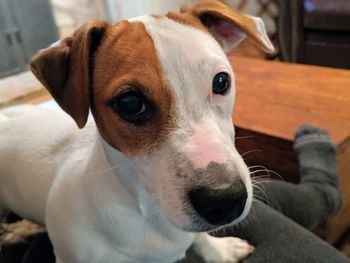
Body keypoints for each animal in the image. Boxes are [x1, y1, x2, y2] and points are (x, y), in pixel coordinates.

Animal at [0, 1, 274, 262]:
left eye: (221, 81)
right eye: (130, 102)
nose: (226, 200)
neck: (149, 210)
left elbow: (200, 237)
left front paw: (219, 250)